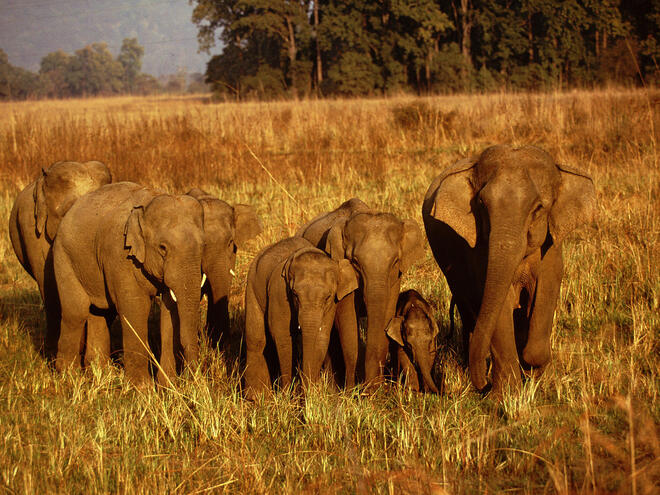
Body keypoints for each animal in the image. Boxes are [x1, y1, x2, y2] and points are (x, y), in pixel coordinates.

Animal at [52, 182, 204, 388]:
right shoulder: (120, 255)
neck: (147, 204)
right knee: (76, 311)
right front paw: (143, 389)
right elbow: (135, 308)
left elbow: (169, 311)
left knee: (101, 312)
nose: (193, 380)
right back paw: (69, 376)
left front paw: (168, 386)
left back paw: (100, 373)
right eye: (163, 248)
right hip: (63, 255)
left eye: (203, 246)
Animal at [244, 236, 358, 400]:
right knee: (256, 339)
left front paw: (310, 394)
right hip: (252, 285)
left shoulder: (332, 304)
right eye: (295, 295)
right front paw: (286, 396)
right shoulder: (279, 290)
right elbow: (282, 336)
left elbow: (321, 338)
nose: (304, 394)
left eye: (327, 298)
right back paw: (255, 397)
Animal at [298, 200, 422, 390]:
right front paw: (352, 391)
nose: (369, 387)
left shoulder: (395, 278)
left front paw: (377, 390)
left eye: (395, 262)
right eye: (355, 262)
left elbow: (387, 314)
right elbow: (348, 322)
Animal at [422, 144, 600, 396]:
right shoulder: (479, 252)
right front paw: (505, 395)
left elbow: (546, 290)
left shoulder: (551, 247)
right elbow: (498, 302)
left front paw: (534, 372)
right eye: (481, 205)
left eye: (538, 208)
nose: (483, 385)